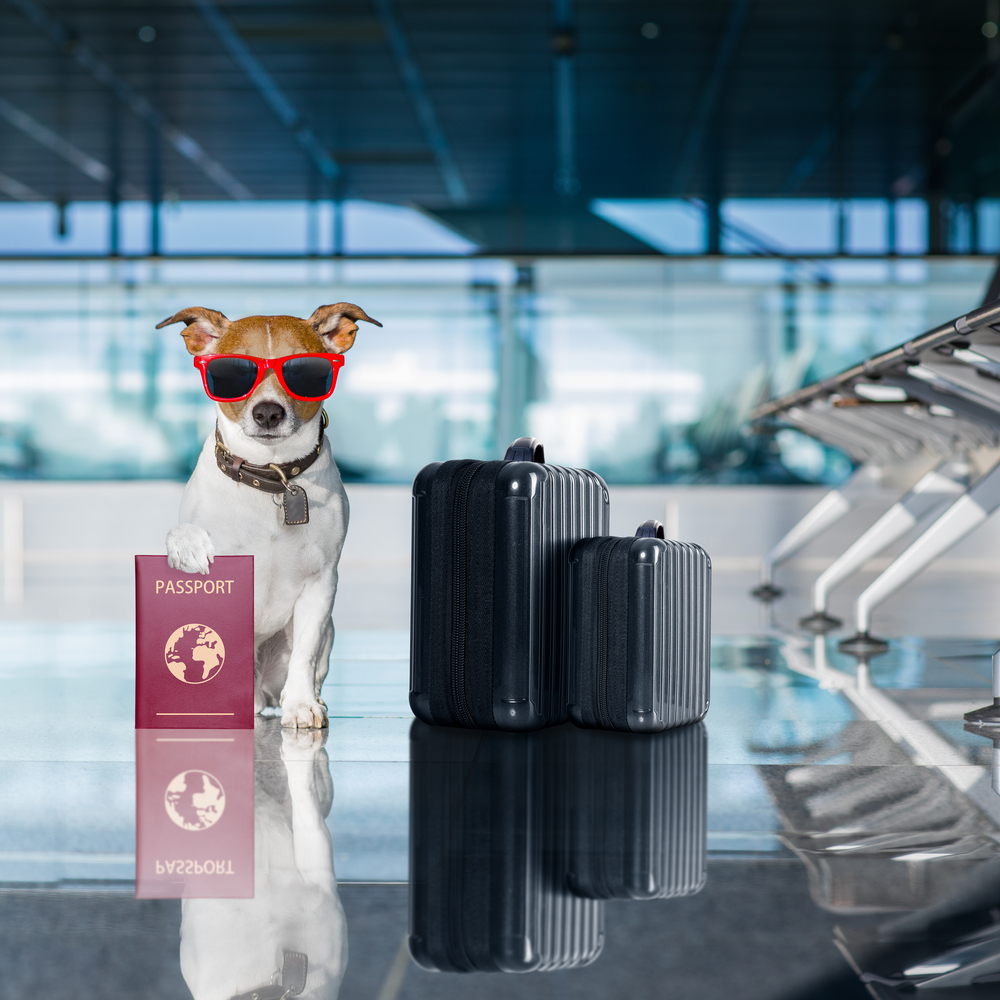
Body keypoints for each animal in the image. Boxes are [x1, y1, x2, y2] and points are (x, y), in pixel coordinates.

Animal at [160, 302, 378, 728]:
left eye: (306, 371)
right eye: (232, 372)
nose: (268, 413)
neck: (272, 476)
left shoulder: (321, 584)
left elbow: (305, 654)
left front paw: (301, 705)